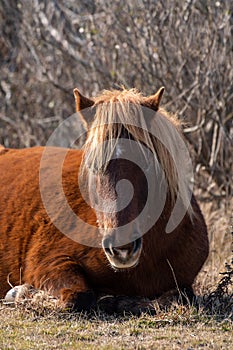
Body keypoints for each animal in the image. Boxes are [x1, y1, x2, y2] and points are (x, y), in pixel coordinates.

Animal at [0, 87, 209, 312]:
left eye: (146, 163)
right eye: (92, 164)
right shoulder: (48, 262)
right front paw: (22, 293)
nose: (122, 249)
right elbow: (78, 296)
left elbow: (180, 296)